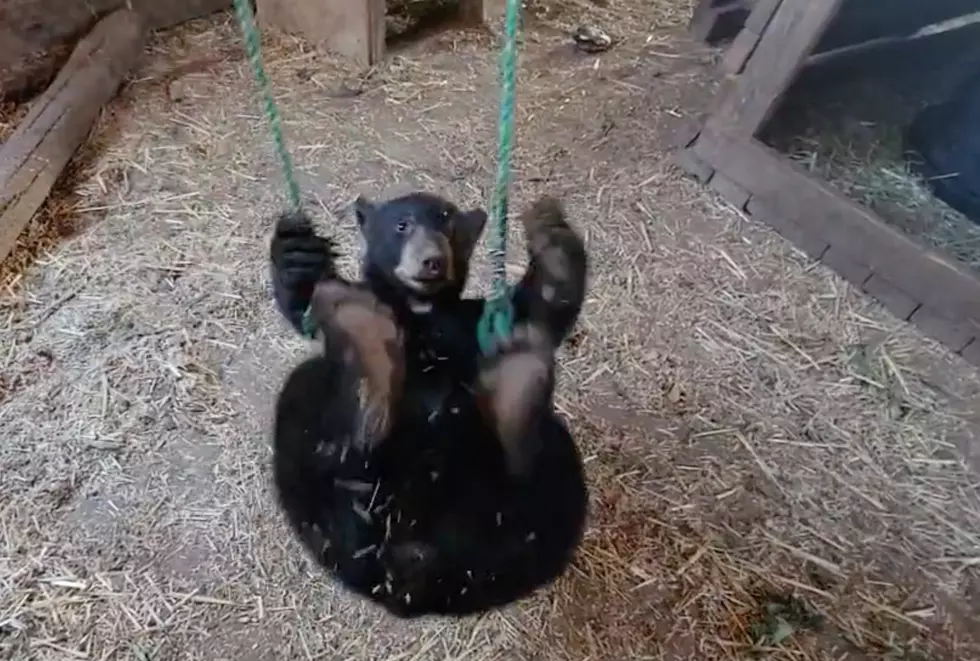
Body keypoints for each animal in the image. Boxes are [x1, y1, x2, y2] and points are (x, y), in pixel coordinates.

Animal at [266, 191, 588, 620]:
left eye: (449, 226)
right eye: (402, 225)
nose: (433, 260)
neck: (421, 311)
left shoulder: (474, 318)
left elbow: (543, 310)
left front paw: (551, 234)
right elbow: (303, 307)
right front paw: (297, 250)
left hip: (543, 489)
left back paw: (517, 375)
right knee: (310, 409)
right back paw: (364, 342)